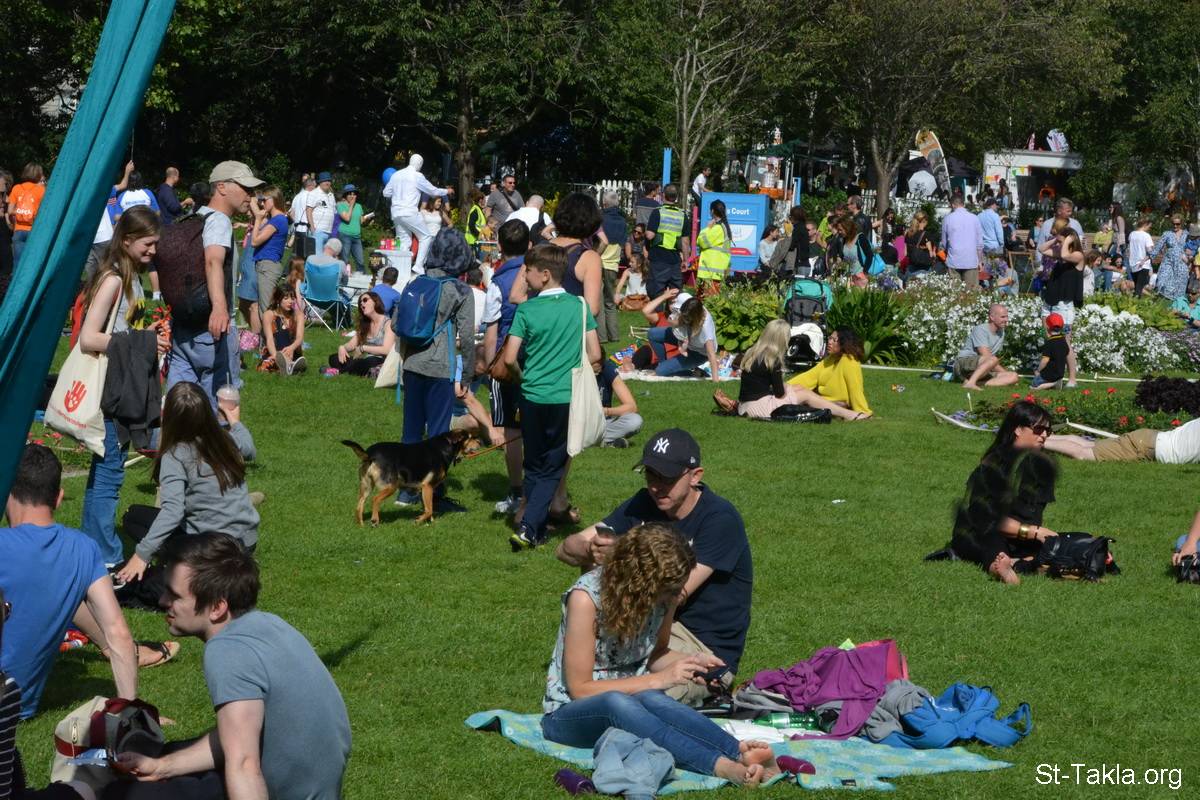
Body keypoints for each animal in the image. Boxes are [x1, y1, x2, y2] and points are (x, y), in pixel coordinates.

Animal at [342, 430, 480, 525]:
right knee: (375, 499)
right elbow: (429, 510)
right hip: (391, 486)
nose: (480, 442)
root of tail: (370, 454)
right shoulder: (427, 486)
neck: (445, 447)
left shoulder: (425, 490)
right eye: (470, 437)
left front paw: (431, 523)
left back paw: (361, 525)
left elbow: (429, 508)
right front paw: (418, 521)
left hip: (366, 487)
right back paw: (375, 520)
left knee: (359, 505)